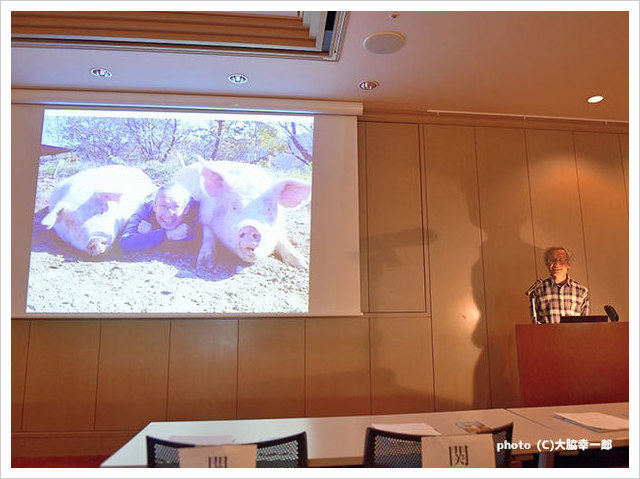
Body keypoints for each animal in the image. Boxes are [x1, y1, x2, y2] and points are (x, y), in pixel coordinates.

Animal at [175, 160, 310, 270]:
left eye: (269, 209)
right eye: (234, 207)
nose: (250, 227)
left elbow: (283, 242)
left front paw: (303, 265)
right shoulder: (204, 215)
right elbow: (208, 236)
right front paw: (205, 265)